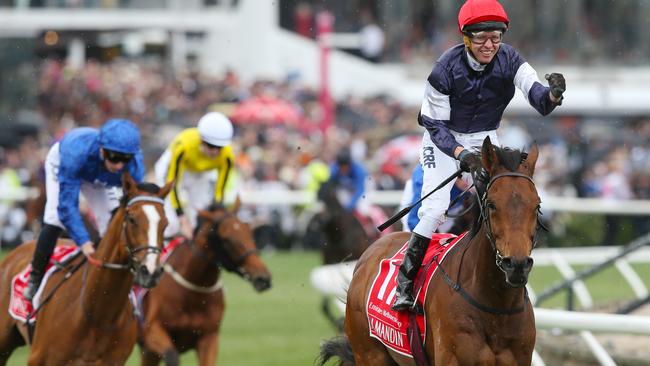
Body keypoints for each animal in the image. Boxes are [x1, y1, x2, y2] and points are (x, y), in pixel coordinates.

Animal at [138, 197, 270, 366]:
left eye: (248, 230)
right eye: (227, 239)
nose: (263, 277)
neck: (191, 294)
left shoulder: (209, 338)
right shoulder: (152, 332)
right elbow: (172, 356)